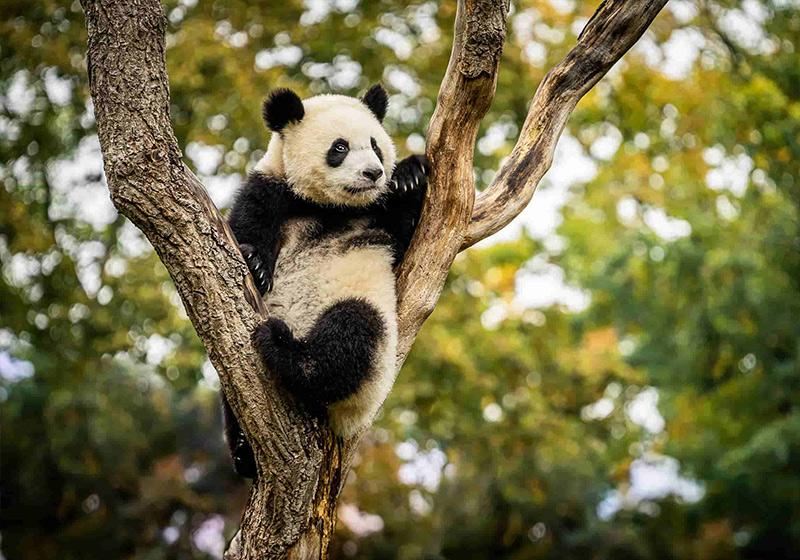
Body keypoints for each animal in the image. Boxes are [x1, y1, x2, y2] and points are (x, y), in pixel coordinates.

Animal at [222, 84, 428, 478]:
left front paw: (410, 176)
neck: (328, 207)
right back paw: (243, 451)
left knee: (350, 338)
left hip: (365, 335)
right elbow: (245, 226)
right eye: (340, 148)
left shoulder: (381, 219)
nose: (373, 173)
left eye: (375, 144)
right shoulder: (271, 188)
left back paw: (283, 348)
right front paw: (255, 263)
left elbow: (409, 235)